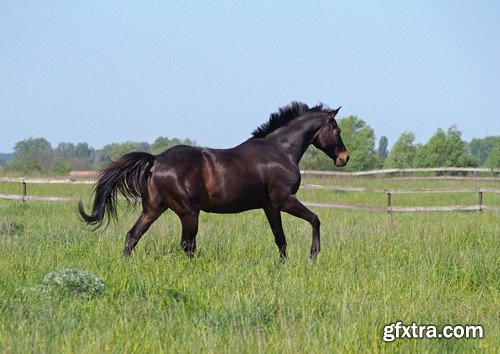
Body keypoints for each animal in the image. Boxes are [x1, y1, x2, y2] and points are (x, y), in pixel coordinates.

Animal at [80, 102, 350, 260]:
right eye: (336, 129)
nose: (344, 158)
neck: (280, 151)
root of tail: (156, 160)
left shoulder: (270, 206)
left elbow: (280, 240)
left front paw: (286, 265)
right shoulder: (284, 200)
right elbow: (315, 219)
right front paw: (314, 255)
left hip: (154, 209)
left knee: (133, 236)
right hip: (188, 212)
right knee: (186, 246)